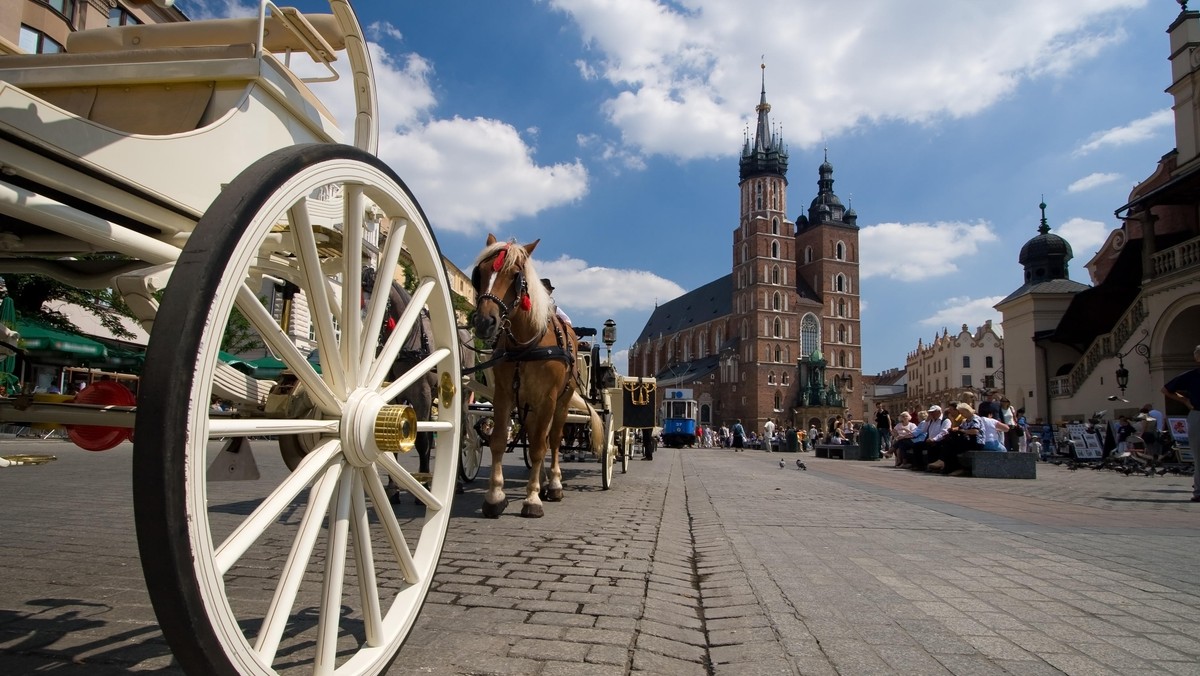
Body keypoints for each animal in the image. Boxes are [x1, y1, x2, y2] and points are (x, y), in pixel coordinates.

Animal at [465, 234, 600, 518]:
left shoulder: (548, 399)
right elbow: (498, 442)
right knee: (541, 435)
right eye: (480, 273)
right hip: (527, 404)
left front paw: (533, 499)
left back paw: (554, 484)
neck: (526, 344)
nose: (484, 322)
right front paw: (495, 496)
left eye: (516, 275)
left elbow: (540, 446)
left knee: (554, 440)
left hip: (561, 401)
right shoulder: (503, 395)